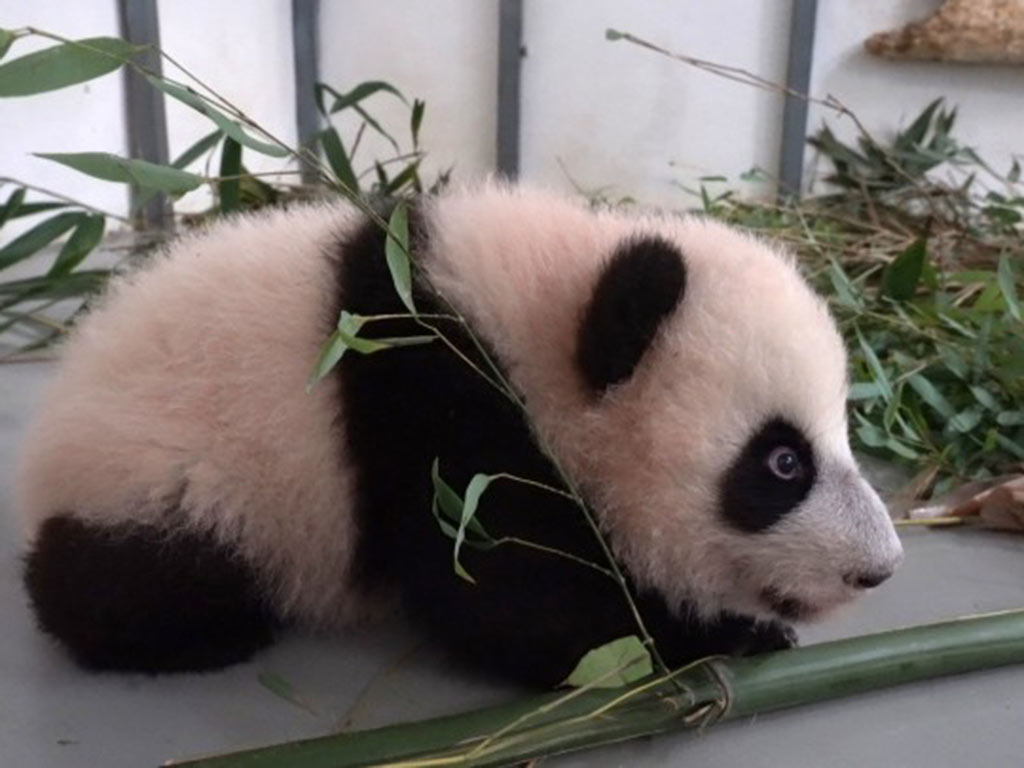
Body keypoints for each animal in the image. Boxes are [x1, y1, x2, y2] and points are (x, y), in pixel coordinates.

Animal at [15, 183, 903, 687]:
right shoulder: (441, 417)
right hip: (168, 479)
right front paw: (720, 632)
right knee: (131, 582)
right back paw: (211, 632)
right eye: (782, 463)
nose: (880, 569)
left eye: (842, 432)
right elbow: (508, 599)